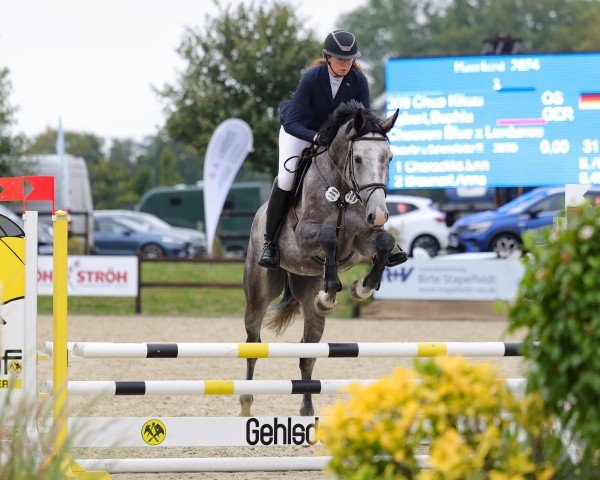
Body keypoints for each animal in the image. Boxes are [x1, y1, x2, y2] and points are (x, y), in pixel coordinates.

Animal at [239, 101, 398, 416]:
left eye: (388, 158)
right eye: (357, 158)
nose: (379, 215)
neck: (343, 192)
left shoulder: (362, 240)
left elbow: (384, 242)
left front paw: (360, 289)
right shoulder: (305, 237)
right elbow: (328, 239)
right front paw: (332, 291)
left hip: (307, 290)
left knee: (307, 354)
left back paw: (307, 410)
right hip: (259, 292)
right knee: (253, 343)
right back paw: (246, 403)